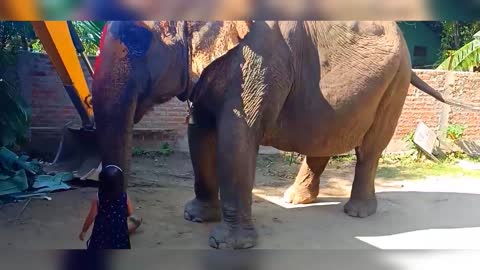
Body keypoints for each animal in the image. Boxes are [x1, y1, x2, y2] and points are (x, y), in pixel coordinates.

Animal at [182, 20, 478, 249]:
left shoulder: (258, 65)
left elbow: (238, 137)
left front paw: (226, 245)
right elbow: (198, 130)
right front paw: (195, 217)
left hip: (397, 82)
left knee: (370, 148)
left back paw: (357, 213)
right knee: (323, 138)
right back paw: (295, 199)